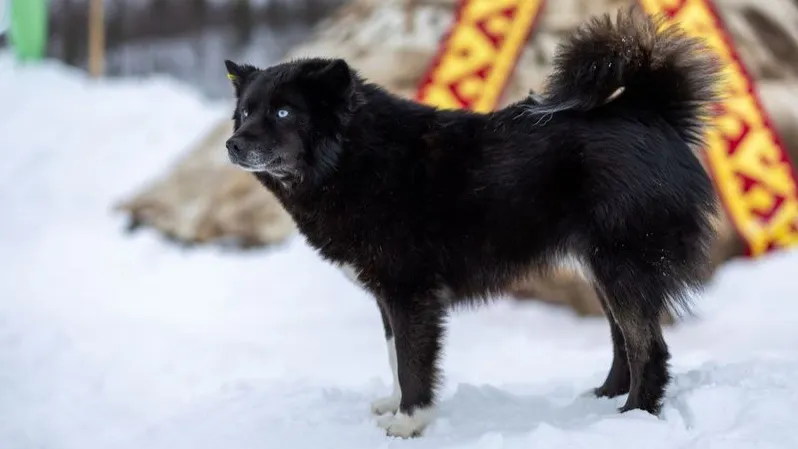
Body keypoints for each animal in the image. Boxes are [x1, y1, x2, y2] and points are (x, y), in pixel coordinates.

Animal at [223, 5, 724, 436]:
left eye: (283, 112)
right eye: (245, 112)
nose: (232, 144)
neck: (355, 157)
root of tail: (650, 109)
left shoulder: (411, 295)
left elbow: (412, 362)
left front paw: (409, 423)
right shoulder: (388, 296)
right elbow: (393, 356)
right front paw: (394, 405)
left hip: (622, 266)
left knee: (649, 349)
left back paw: (635, 416)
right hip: (604, 269)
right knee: (623, 339)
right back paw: (604, 401)